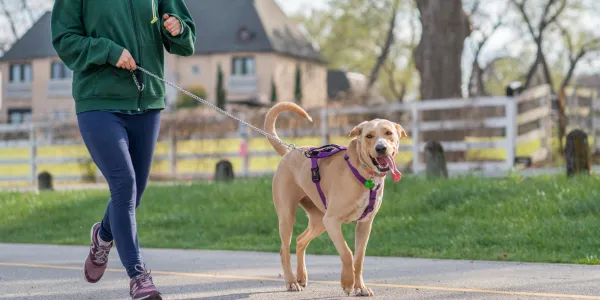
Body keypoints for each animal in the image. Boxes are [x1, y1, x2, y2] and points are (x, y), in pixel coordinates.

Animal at [264, 102, 408, 296]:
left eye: (388, 133)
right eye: (369, 136)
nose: (381, 148)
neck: (364, 173)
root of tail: (289, 152)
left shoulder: (365, 224)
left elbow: (359, 258)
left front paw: (360, 287)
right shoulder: (332, 221)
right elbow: (347, 253)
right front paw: (347, 283)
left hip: (319, 221)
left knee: (300, 241)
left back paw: (301, 277)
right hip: (289, 216)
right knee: (283, 250)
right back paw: (291, 282)